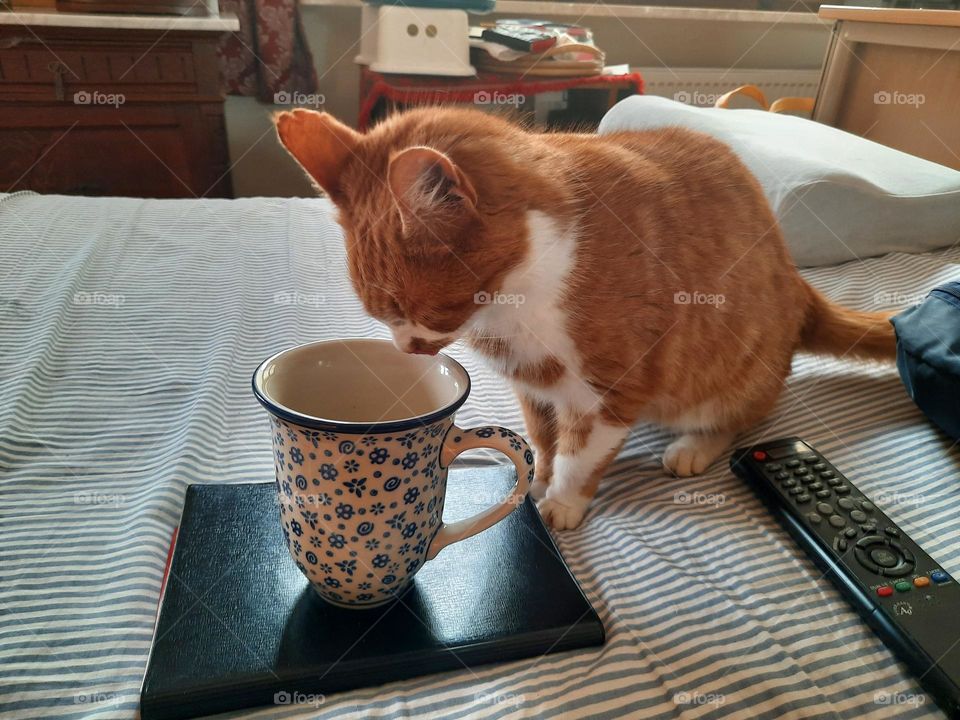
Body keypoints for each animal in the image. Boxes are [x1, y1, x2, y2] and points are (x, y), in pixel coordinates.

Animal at [274, 108, 896, 536]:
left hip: (728, 378)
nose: (405, 349)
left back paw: (693, 448)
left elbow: (579, 456)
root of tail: (797, 278)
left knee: (738, 417)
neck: (513, 305)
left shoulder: (609, 392)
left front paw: (563, 501)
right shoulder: (533, 387)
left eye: (416, 313)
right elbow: (543, 444)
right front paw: (536, 481)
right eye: (382, 315)